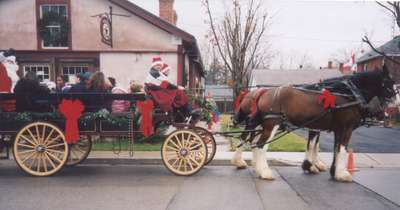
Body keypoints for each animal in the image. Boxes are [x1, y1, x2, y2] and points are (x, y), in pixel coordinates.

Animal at [231, 67, 396, 182]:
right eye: (389, 84)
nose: (395, 104)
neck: (348, 94)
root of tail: (263, 93)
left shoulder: (332, 128)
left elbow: (329, 148)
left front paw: (328, 170)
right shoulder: (345, 128)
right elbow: (339, 149)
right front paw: (340, 173)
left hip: (261, 124)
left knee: (250, 141)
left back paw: (251, 166)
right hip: (272, 124)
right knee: (260, 145)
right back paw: (264, 171)